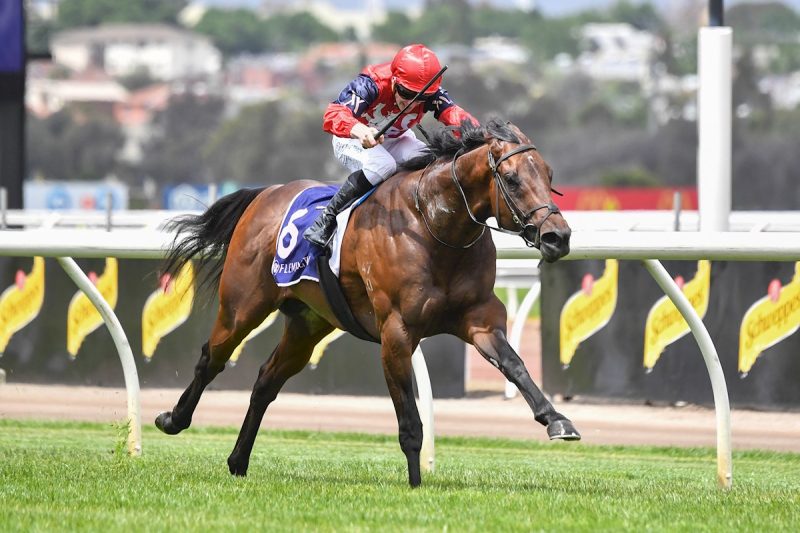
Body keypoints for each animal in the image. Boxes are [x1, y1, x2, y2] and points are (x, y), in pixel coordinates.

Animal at [155, 118, 580, 487]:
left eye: (549, 175)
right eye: (512, 179)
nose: (558, 237)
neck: (433, 225)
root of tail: (265, 194)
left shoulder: (479, 319)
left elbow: (515, 365)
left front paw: (557, 420)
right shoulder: (396, 333)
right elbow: (409, 420)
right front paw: (415, 486)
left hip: (308, 323)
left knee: (266, 381)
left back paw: (238, 461)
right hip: (242, 305)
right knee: (212, 358)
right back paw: (173, 419)